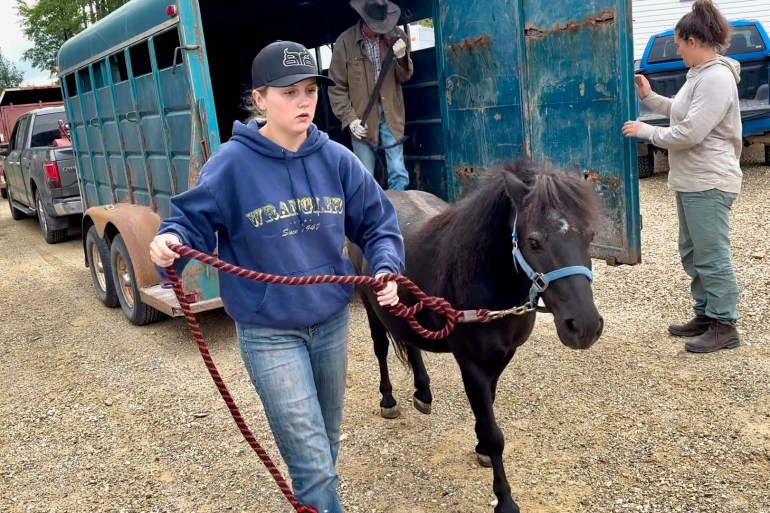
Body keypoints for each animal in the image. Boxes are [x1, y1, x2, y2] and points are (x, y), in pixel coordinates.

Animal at [348, 160, 604, 513]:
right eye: (533, 241)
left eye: (589, 237)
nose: (585, 327)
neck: (486, 282)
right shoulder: (470, 363)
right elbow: (495, 434)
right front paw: (505, 500)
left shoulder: (502, 357)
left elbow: (489, 411)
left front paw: (480, 446)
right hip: (372, 308)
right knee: (381, 349)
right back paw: (388, 400)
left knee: (412, 345)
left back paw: (423, 394)